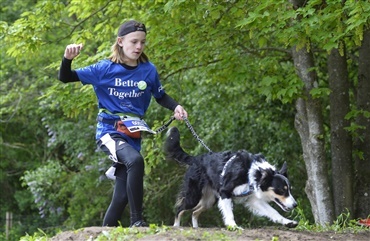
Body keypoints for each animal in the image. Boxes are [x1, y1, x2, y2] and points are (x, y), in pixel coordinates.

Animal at [164, 127, 298, 229]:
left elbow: (273, 212)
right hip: (194, 196)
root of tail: (195, 159)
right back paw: (176, 226)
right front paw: (233, 226)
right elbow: (229, 213)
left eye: (290, 189)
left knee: (194, 212)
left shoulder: (253, 199)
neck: (252, 172)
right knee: (180, 209)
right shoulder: (225, 192)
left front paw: (288, 222)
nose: (295, 205)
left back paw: (196, 227)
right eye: (281, 190)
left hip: (209, 200)